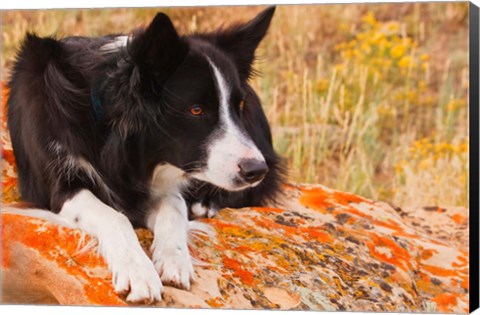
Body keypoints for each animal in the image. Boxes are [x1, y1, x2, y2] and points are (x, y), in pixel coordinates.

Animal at [5, 6, 284, 304]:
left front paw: (174, 259)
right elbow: (114, 216)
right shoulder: (56, 185)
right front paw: (137, 272)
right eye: (196, 110)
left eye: (238, 106)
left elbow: (174, 206)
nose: (256, 170)